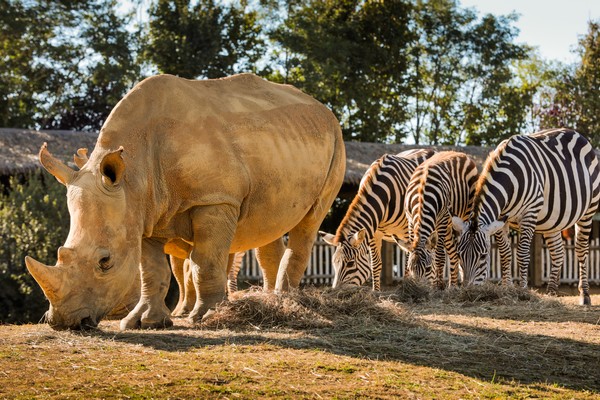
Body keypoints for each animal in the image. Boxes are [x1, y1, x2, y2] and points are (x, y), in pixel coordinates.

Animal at [322, 149, 434, 290]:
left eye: (350, 264)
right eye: (333, 262)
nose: (336, 292)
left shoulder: (408, 230)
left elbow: (409, 262)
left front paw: (408, 287)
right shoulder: (373, 233)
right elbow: (375, 265)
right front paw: (376, 291)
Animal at [404, 152, 478, 290]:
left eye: (427, 269)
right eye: (411, 268)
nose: (417, 289)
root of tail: (459, 153)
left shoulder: (442, 220)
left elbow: (439, 256)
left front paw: (438, 286)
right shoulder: (410, 220)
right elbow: (407, 253)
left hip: (462, 216)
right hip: (449, 226)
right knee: (453, 252)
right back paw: (452, 285)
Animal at [454, 130, 600, 304]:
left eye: (483, 256)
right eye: (459, 255)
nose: (467, 293)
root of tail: (577, 134)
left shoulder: (530, 213)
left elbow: (522, 253)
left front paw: (523, 290)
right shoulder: (501, 219)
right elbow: (505, 253)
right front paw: (507, 287)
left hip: (588, 211)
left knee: (581, 249)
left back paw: (584, 294)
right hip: (553, 220)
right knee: (558, 251)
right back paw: (551, 293)